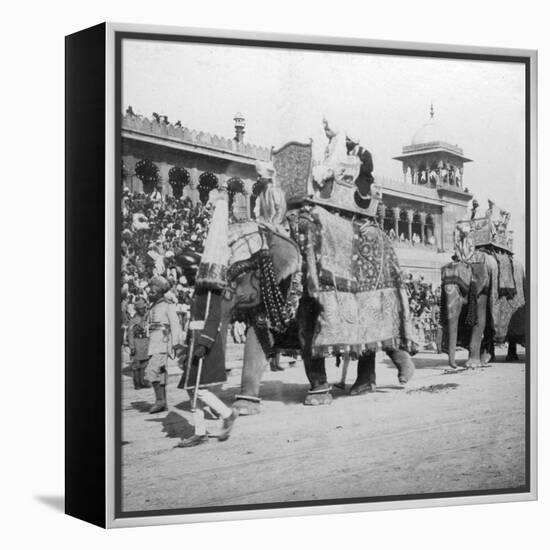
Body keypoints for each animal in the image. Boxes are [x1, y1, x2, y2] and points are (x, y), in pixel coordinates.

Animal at [225, 205, 418, 416]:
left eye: (238, 274)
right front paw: (243, 407)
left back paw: (402, 377)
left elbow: (307, 337)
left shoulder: (308, 284)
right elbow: (258, 337)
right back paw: (364, 388)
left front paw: (317, 399)